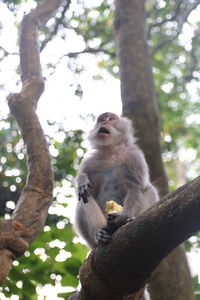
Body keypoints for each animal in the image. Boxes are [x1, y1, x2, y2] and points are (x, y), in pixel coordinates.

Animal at [74, 112, 159, 248]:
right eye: (101, 120)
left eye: (111, 119)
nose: (103, 122)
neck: (110, 151)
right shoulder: (90, 162)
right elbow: (84, 186)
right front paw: (81, 180)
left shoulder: (134, 156)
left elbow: (135, 187)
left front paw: (122, 217)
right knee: (83, 198)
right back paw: (98, 234)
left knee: (147, 189)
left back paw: (125, 221)